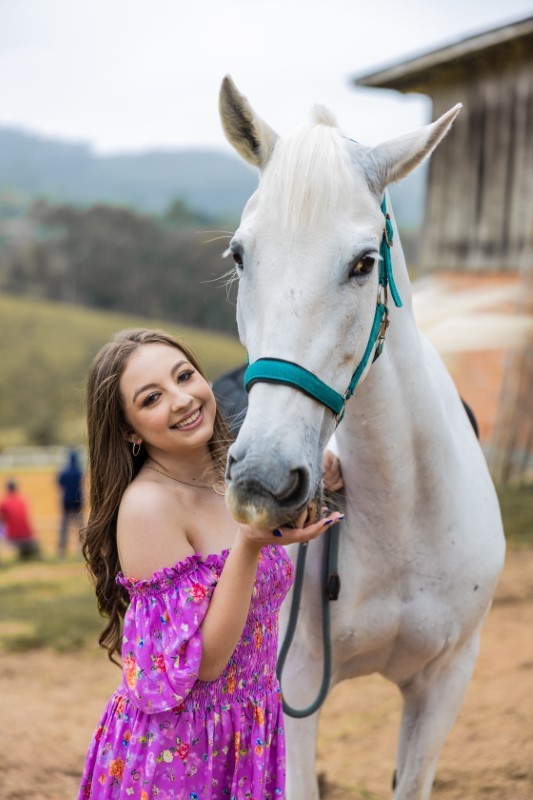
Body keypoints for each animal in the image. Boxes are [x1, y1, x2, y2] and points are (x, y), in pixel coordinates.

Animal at [218, 76, 505, 800]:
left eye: (362, 262)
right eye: (239, 255)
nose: (264, 479)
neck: (402, 513)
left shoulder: (444, 684)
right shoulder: (291, 687)